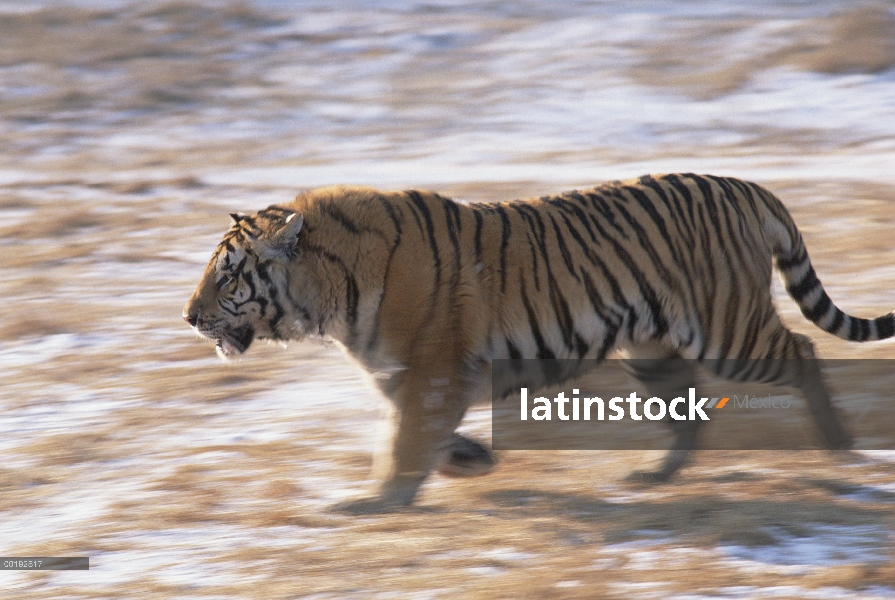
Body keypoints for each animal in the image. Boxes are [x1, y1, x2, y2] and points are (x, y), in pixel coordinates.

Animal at [184, 172, 895, 510]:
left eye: (228, 276)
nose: (189, 317)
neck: (329, 297)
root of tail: (747, 188)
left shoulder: (432, 371)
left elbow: (404, 440)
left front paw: (372, 502)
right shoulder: (407, 376)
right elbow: (409, 434)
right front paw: (469, 460)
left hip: (728, 328)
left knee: (803, 353)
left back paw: (838, 443)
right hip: (653, 347)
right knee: (689, 407)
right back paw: (655, 473)